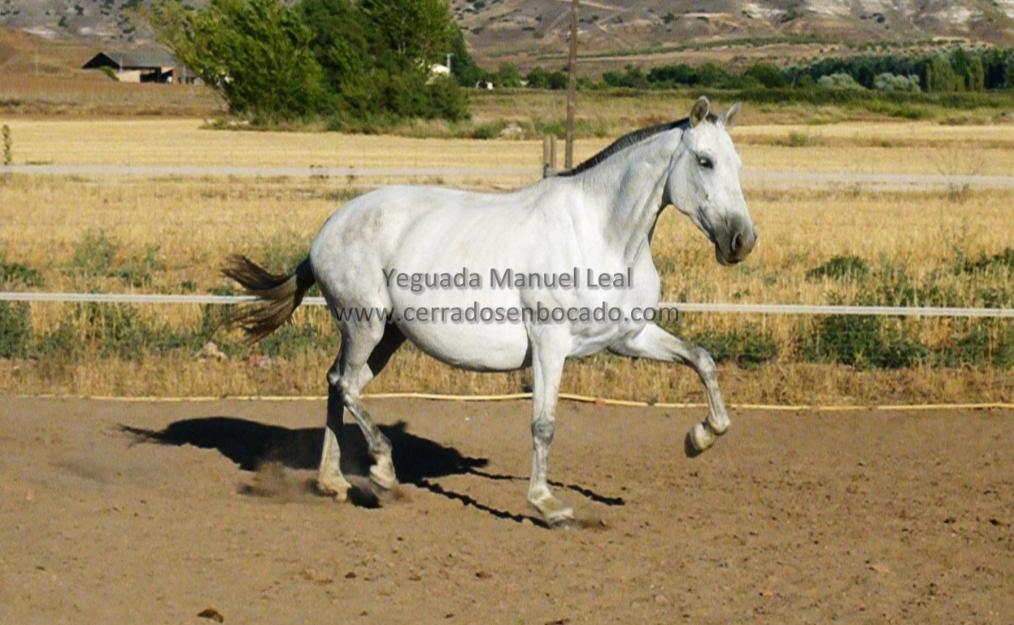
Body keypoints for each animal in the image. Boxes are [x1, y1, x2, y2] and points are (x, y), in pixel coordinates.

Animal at [226, 97, 758, 527]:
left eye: (737, 163)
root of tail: (327, 229)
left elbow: (702, 359)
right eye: (705, 161)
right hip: (366, 326)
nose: (741, 241)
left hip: (386, 336)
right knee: (344, 385)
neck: (603, 235)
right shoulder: (550, 343)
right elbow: (544, 425)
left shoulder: (629, 337)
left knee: (339, 384)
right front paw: (549, 506)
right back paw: (382, 471)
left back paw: (335, 482)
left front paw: (700, 438)